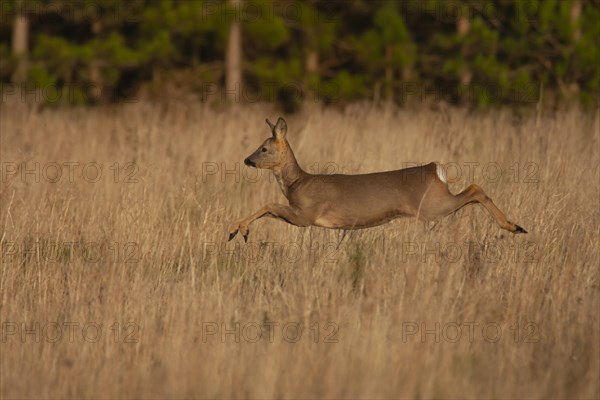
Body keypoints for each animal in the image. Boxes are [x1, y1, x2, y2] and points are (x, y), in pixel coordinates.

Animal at [227, 115, 528, 241]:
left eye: (264, 148)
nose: (247, 160)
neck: (296, 183)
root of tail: (436, 169)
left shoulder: (306, 214)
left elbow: (268, 205)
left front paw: (236, 230)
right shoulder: (300, 215)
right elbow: (269, 211)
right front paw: (240, 231)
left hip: (432, 206)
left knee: (475, 188)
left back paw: (514, 227)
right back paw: (516, 227)